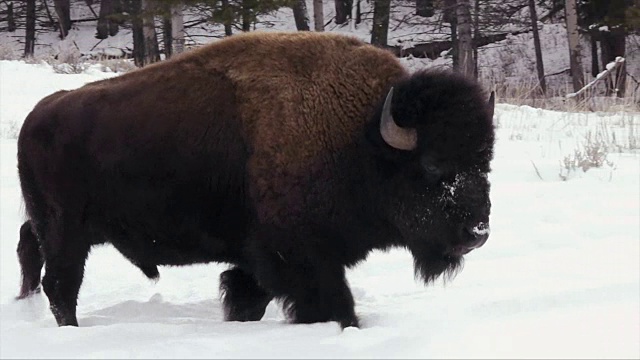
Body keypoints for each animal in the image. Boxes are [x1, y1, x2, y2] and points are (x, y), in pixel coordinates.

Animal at [13, 31, 496, 330]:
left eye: (485, 161)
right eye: (431, 165)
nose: (477, 232)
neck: (359, 136)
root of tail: (35, 117)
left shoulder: (256, 262)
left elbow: (248, 297)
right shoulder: (302, 258)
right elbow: (333, 305)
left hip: (52, 226)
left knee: (30, 251)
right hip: (66, 232)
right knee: (61, 285)